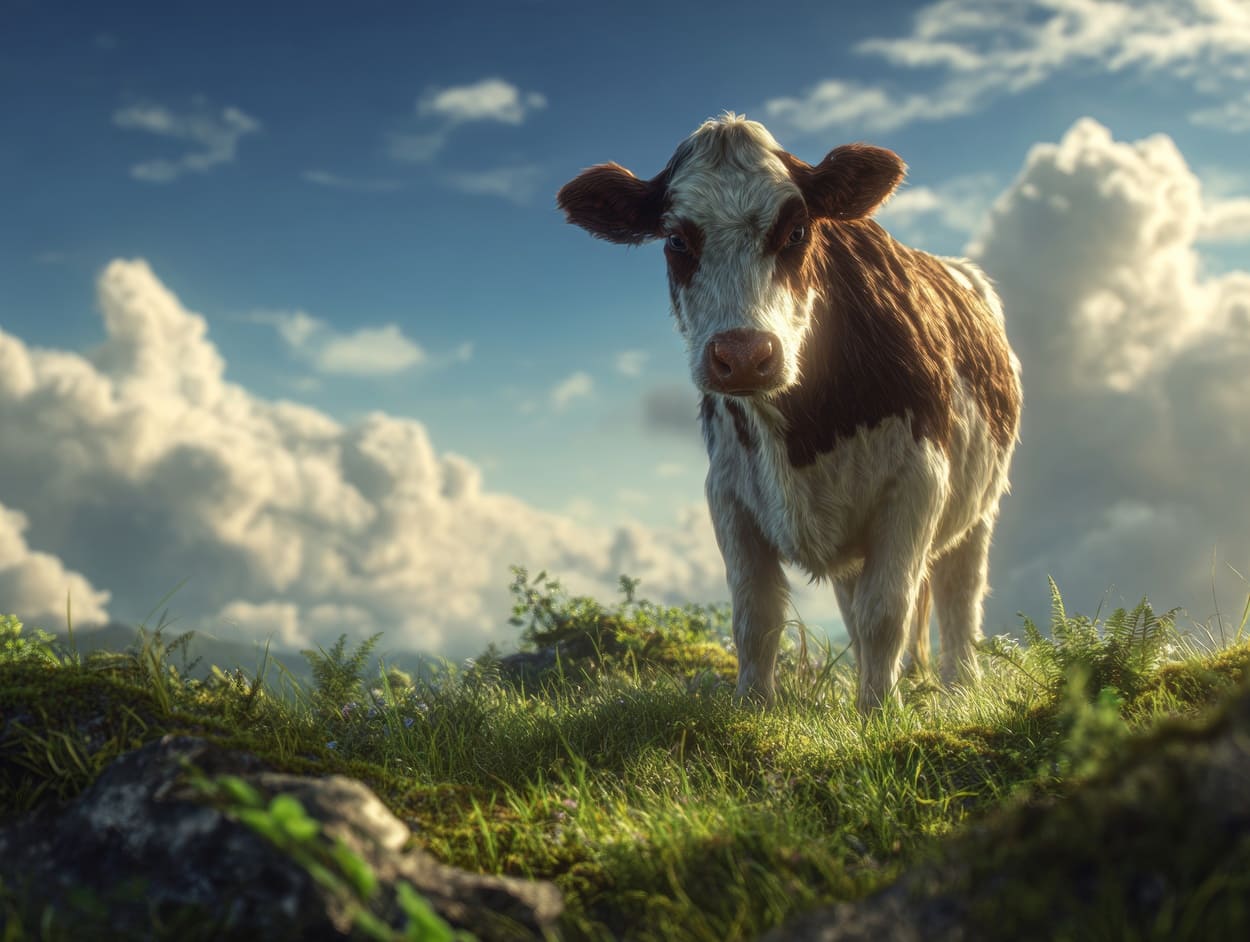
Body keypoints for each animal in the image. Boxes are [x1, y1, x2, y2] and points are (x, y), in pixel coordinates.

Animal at [557, 114, 1021, 712]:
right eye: (677, 239)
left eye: (797, 231)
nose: (743, 355)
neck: (804, 432)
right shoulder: (727, 492)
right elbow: (756, 615)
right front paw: (753, 706)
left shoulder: (920, 479)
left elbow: (886, 609)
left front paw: (879, 710)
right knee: (854, 598)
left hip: (979, 507)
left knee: (957, 591)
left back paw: (960, 685)